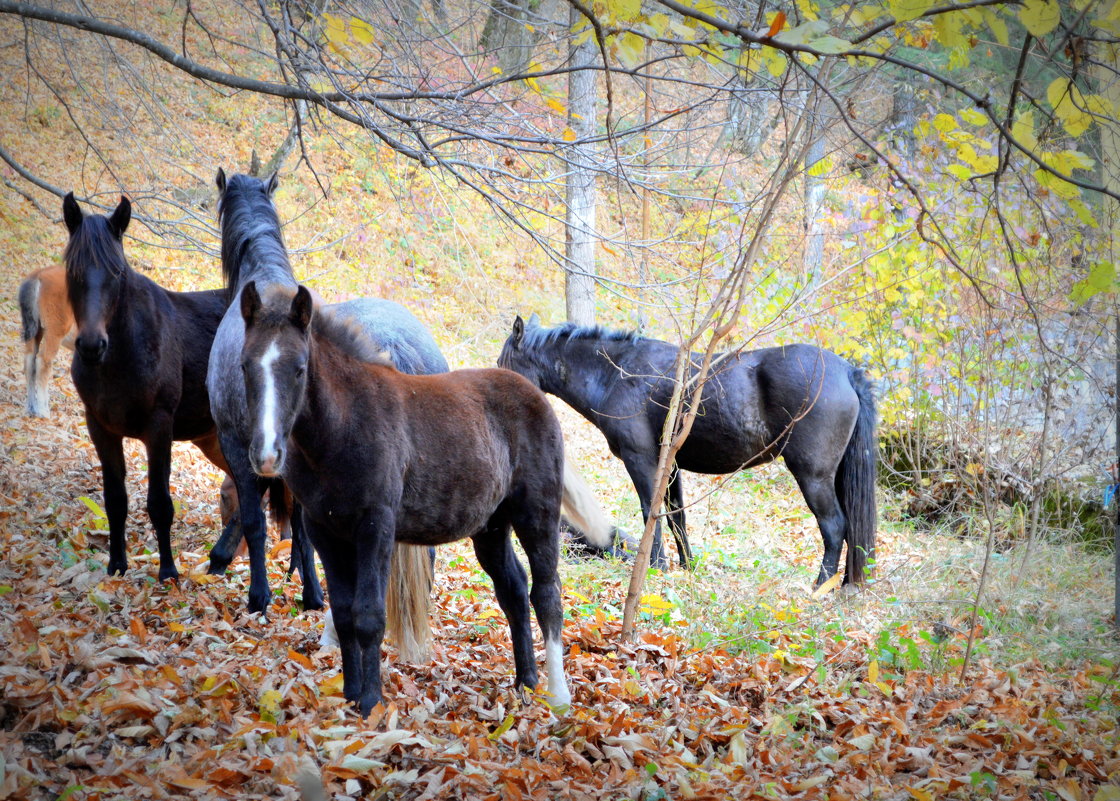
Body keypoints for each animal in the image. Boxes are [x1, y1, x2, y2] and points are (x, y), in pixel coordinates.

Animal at [18, 264, 74, 416]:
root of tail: (39, 274)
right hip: (54, 333)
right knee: (43, 362)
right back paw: (42, 411)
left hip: (37, 331)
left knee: (29, 360)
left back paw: (31, 407)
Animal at [236, 283, 568, 721]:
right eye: (244, 366)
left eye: (299, 368)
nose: (266, 456)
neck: (343, 429)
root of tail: (535, 394)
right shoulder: (323, 529)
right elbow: (343, 614)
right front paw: (350, 695)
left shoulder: (376, 525)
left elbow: (368, 616)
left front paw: (371, 703)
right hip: (490, 526)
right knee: (513, 588)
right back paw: (524, 684)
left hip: (537, 514)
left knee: (546, 593)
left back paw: (558, 696)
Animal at [497, 315, 873, 587]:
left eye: (504, 363)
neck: (615, 374)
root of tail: (847, 372)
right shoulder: (671, 466)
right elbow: (676, 516)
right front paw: (687, 566)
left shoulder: (642, 460)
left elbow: (651, 513)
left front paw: (656, 567)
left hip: (814, 475)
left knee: (834, 527)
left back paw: (821, 586)